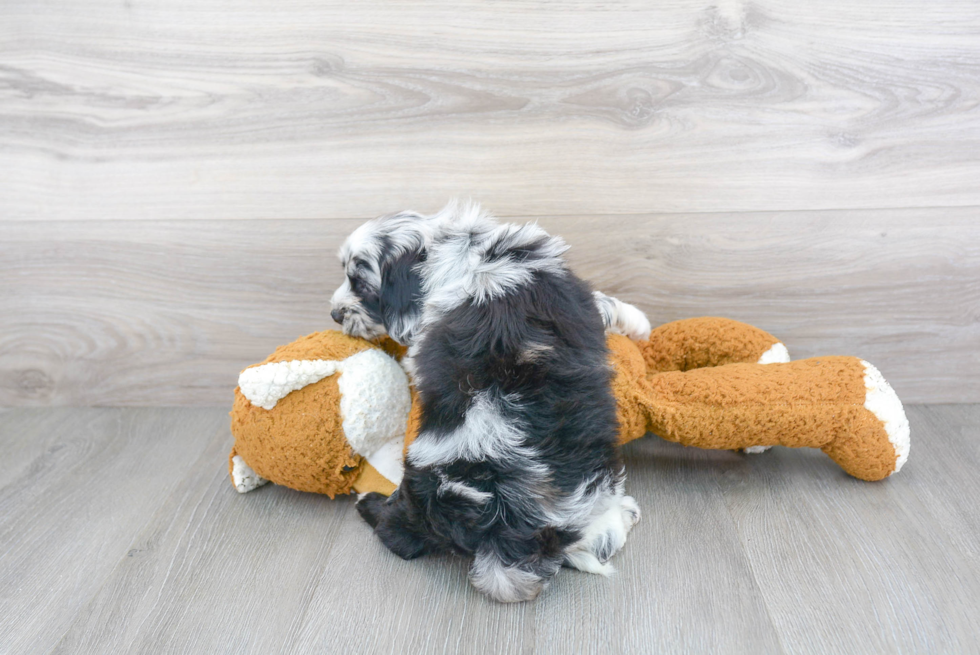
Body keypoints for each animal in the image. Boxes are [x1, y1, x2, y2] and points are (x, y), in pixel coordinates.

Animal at [330, 202, 652, 604]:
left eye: (359, 284)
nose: (334, 313)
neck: (458, 247)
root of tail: (492, 514)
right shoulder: (572, 293)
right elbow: (606, 303)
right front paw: (640, 323)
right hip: (592, 478)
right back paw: (623, 515)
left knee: (396, 533)